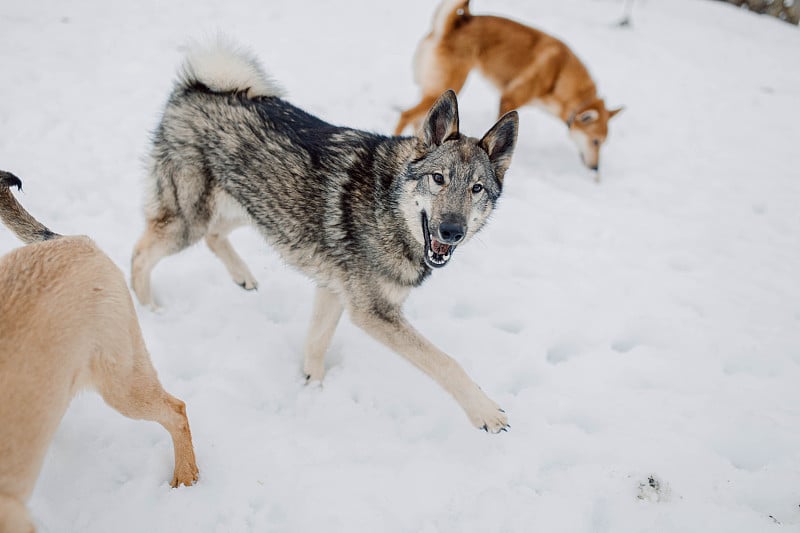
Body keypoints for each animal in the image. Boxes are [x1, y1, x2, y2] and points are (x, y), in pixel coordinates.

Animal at [131, 40, 520, 432]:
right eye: (438, 178)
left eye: (476, 188)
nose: (451, 231)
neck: (388, 203)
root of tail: (196, 87)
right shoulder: (373, 312)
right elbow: (445, 362)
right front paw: (485, 411)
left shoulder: (334, 290)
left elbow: (317, 342)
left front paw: (312, 388)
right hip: (190, 220)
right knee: (140, 254)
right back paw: (148, 309)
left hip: (252, 207)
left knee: (213, 237)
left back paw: (242, 277)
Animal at [396, 0, 620, 170]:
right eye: (595, 141)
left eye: (602, 143)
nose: (596, 168)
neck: (560, 73)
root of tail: (451, 25)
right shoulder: (509, 99)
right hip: (450, 85)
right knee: (405, 115)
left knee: (416, 119)